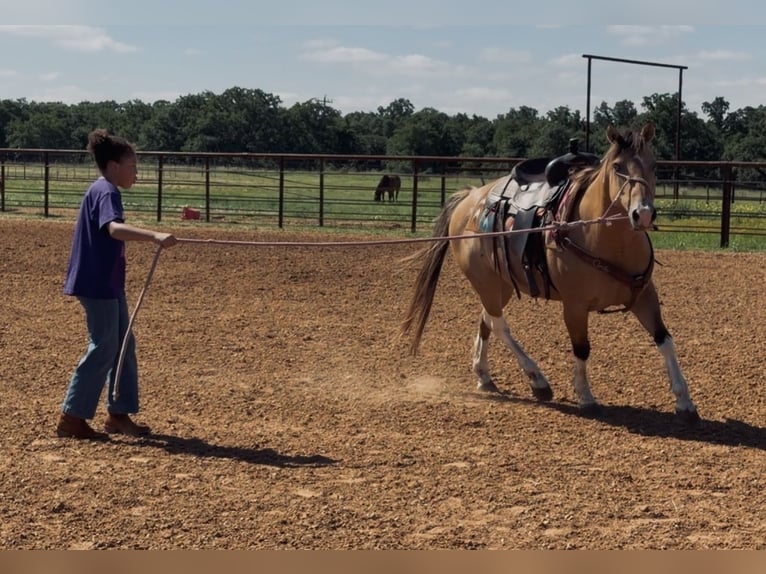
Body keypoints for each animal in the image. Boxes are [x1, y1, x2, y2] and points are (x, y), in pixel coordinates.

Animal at [401, 123, 700, 423]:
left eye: (654, 165)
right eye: (617, 167)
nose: (644, 214)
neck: (601, 236)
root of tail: (470, 197)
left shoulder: (644, 296)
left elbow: (665, 340)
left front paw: (684, 402)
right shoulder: (574, 306)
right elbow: (581, 348)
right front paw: (585, 397)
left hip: (500, 285)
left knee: (486, 321)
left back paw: (484, 376)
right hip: (485, 283)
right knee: (499, 325)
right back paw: (537, 380)